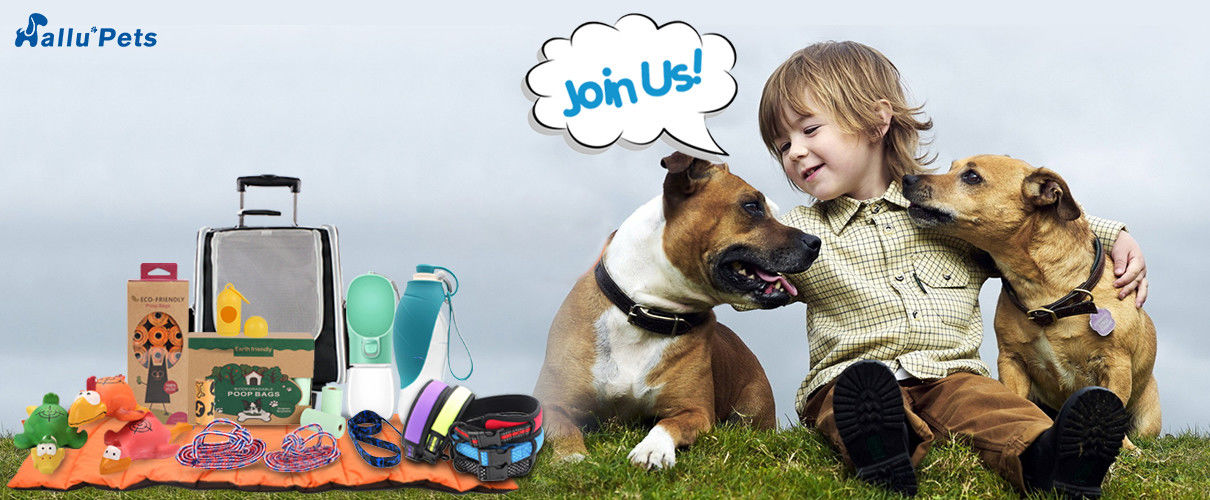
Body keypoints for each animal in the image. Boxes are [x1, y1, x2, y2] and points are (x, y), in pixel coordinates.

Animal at [537, 151, 822, 467]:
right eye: (752, 206)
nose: (815, 242)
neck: (647, 312)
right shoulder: (552, 402)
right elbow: (565, 428)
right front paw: (571, 457)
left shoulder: (694, 410)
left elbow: (667, 424)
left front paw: (652, 449)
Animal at [905, 154, 1156, 443]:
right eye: (951, 168)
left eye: (972, 176)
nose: (906, 178)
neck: (1044, 292)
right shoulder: (1011, 361)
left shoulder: (1115, 364)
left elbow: (1112, 405)